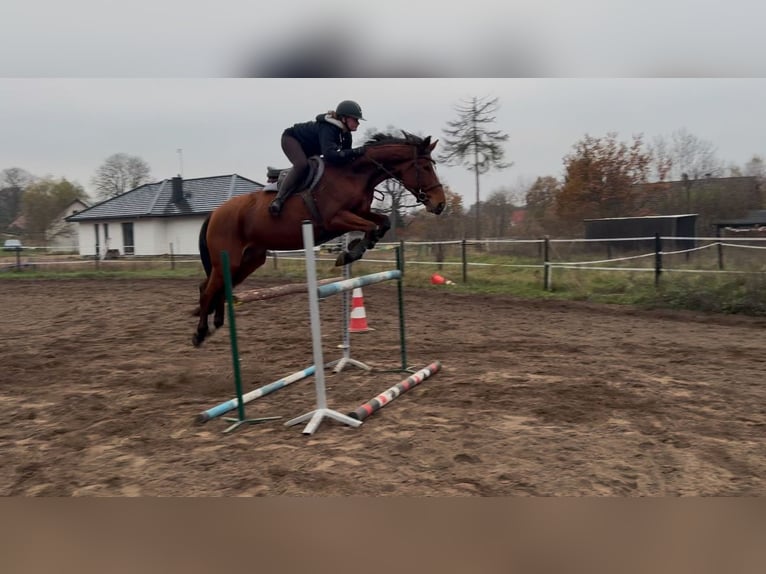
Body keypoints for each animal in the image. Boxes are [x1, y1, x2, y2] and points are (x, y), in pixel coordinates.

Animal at [192, 131, 447, 347]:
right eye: (425, 166)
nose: (440, 204)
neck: (354, 174)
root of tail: (215, 212)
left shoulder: (359, 212)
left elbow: (382, 222)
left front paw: (354, 248)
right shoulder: (335, 219)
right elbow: (372, 226)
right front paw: (349, 253)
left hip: (251, 260)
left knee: (217, 286)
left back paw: (216, 322)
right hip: (229, 259)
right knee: (208, 289)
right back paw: (199, 333)